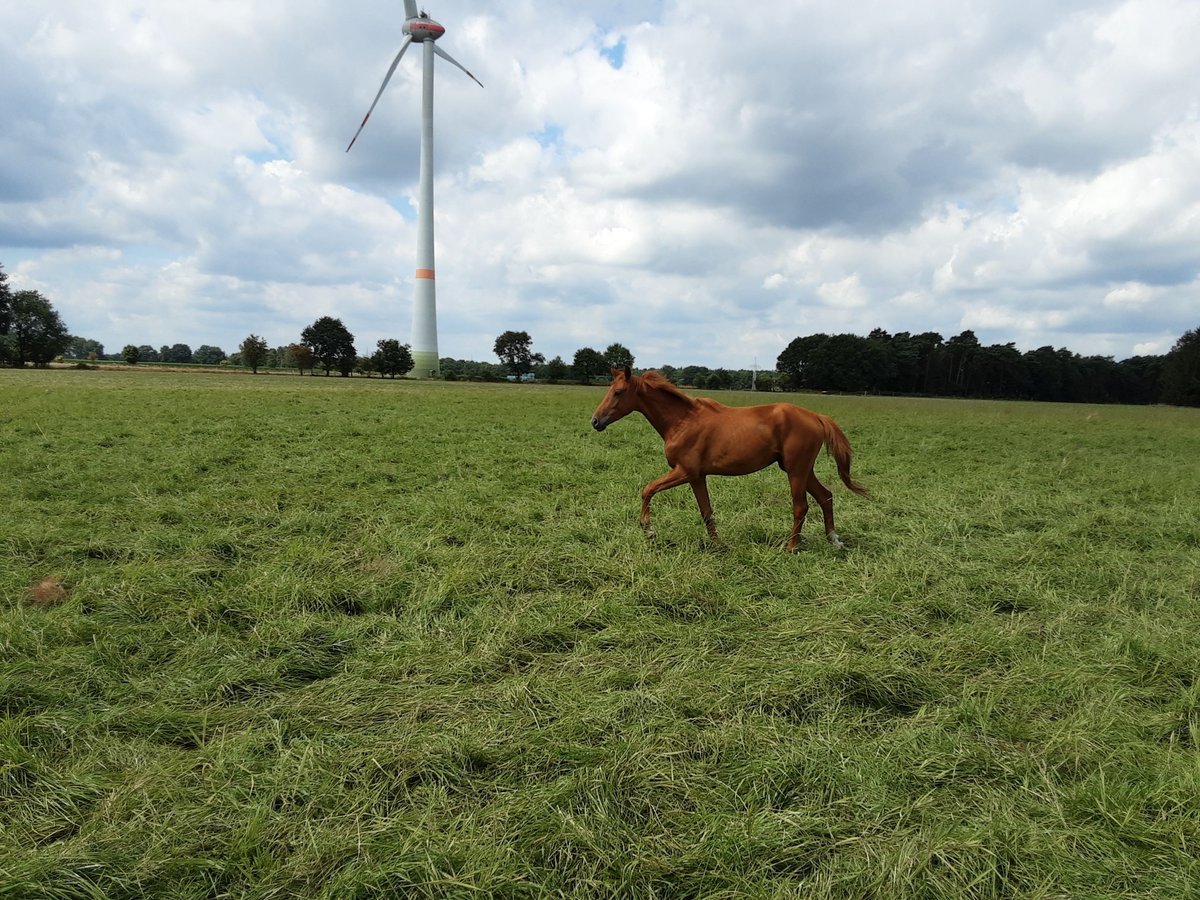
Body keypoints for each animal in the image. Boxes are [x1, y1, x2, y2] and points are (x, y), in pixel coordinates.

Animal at [588, 364, 864, 549]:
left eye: (618, 392)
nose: (595, 421)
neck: (682, 421)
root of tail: (816, 416)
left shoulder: (684, 471)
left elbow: (648, 489)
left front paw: (648, 530)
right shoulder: (697, 477)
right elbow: (706, 511)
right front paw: (718, 544)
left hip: (796, 470)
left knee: (801, 506)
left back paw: (791, 547)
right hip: (801, 469)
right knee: (826, 496)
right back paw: (834, 541)